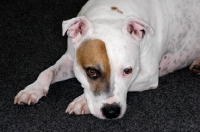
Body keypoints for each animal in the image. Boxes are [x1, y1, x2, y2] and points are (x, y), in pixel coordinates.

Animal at [14, 0, 200, 119]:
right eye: (91, 71)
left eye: (128, 71)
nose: (112, 112)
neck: (110, 14)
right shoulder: (70, 59)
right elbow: (48, 71)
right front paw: (32, 89)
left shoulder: (148, 75)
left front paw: (81, 101)